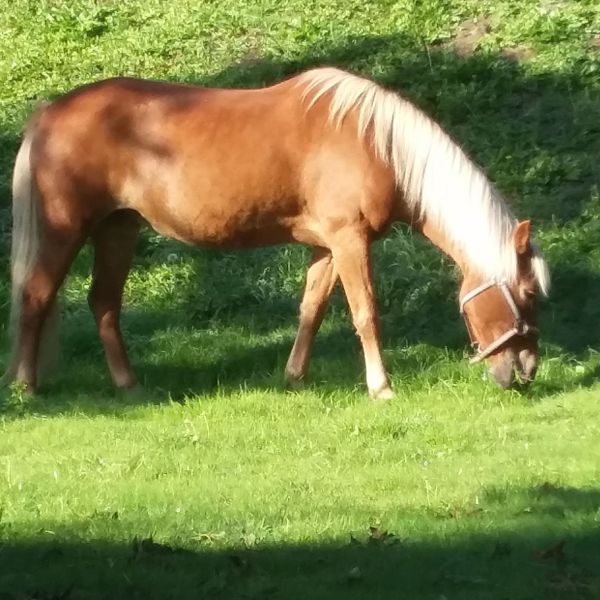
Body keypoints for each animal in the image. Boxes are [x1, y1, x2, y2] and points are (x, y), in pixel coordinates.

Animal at [2, 67, 552, 398]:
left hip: (118, 229)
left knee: (103, 303)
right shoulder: (350, 241)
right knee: (36, 296)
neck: (376, 143)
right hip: (65, 228)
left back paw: (129, 385)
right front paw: (381, 387)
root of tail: (51, 110)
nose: (525, 370)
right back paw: (27, 388)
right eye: (527, 294)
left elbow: (311, 310)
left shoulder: (327, 247)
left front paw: (294, 376)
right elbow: (365, 313)